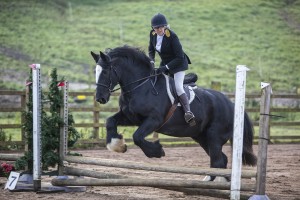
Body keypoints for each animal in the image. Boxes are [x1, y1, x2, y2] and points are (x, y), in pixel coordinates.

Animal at [90, 46, 256, 180]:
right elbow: (110, 121)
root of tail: (232, 104)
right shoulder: (130, 117)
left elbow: (137, 137)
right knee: (221, 160)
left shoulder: (153, 120)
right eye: (95, 72)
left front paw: (156, 151)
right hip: (202, 137)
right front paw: (117, 145)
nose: (100, 98)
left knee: (217, 161)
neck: (141, 86)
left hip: (214, 137)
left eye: (105, 71)